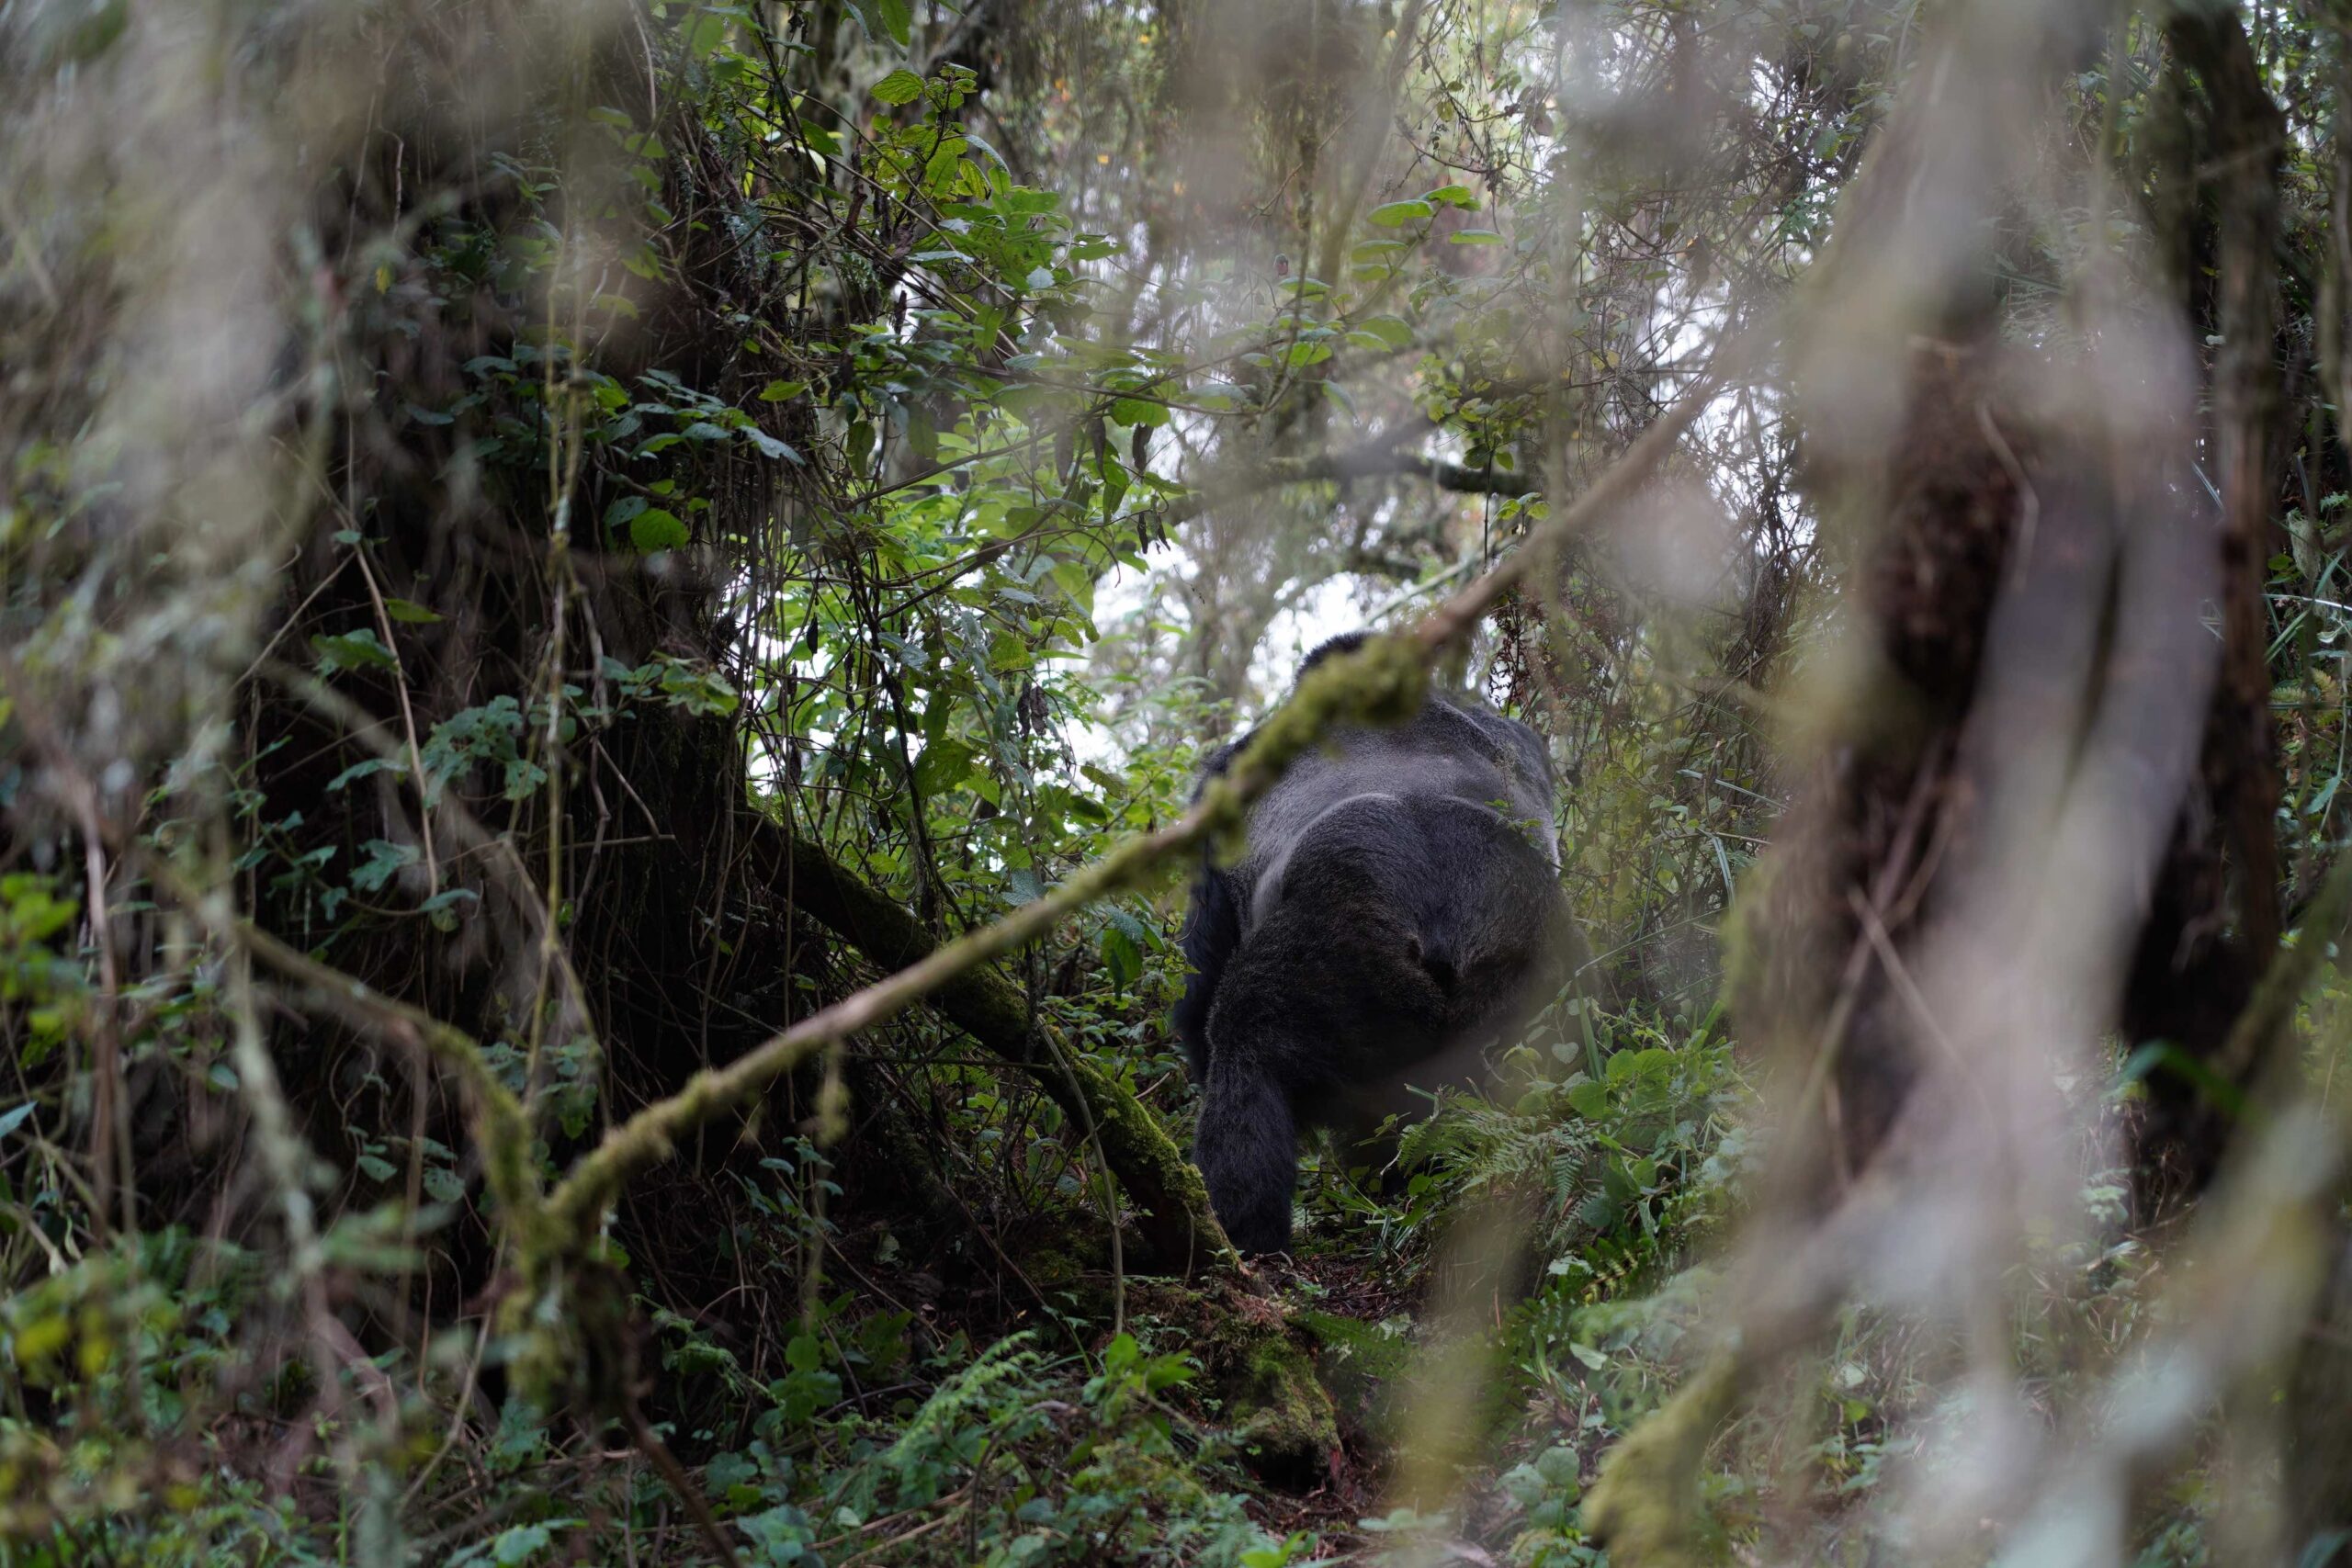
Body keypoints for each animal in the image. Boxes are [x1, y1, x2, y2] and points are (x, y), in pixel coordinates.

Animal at [1170, 629, 1580, 1259]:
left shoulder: (1222, 782)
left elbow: (1198, 987)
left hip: (1339, 949)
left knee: (1246, 1047)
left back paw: (1243, 1240)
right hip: (1532, 958)